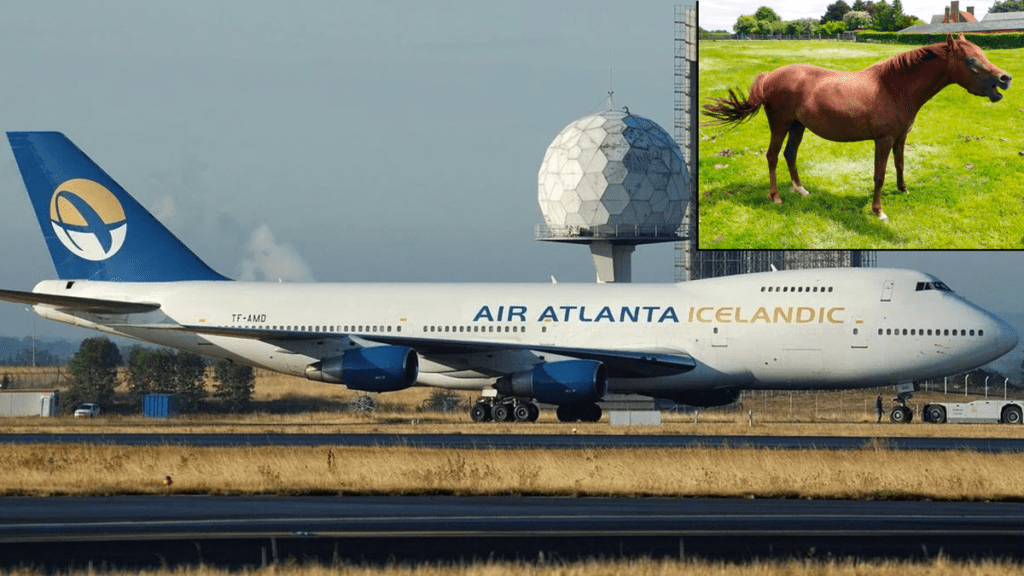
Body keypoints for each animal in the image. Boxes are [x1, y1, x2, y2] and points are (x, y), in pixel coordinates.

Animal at [704, 34, 1007, 219]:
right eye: (971, 60)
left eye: (982, 53)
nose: (1005, 79)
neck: (893, 87)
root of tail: (769, 76)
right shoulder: (883, 140)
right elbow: (879, 175)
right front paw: (878, 211)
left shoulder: (899, 138)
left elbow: (899, 165)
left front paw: (903, 189)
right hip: (780, 125)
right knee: (772, 156)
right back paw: (775, 197)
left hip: (798, 126)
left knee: (790, 155)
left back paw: (801, 190)